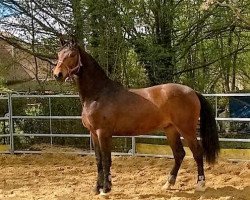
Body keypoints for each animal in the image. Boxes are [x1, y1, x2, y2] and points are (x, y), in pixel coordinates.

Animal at [53, 38, 219, 195]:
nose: (57, 75)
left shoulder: (103, 133)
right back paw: (168, 184)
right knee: (179, 154)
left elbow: (106, 160)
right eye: (58, 54)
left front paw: (106, 189)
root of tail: (192, 92)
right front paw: (97, 188)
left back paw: (200, 185)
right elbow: (99, 161)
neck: (98, 94)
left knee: (197, 152)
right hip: (170, 129)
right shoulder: (93, 133)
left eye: (72, 55)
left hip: (187, 129)